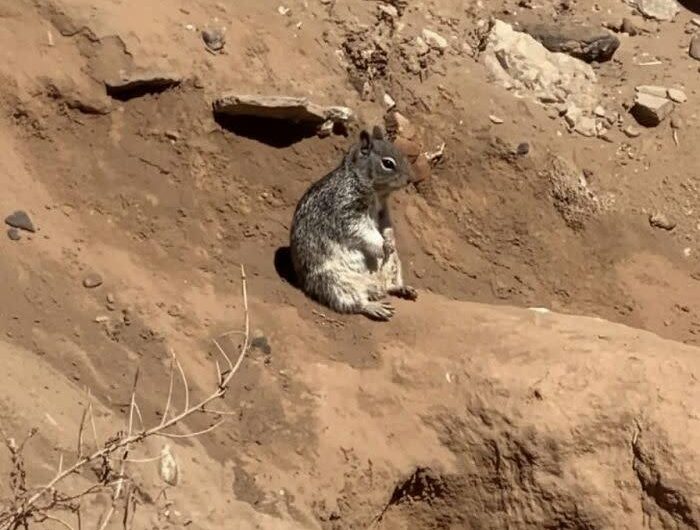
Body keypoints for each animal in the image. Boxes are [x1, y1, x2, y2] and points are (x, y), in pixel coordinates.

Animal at [290, 126, 418, 321]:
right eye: (388, 163)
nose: (410, 179)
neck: (377, 193)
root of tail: (375, 287)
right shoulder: (347, 211)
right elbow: (361, 230)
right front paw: (381, 245)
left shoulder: (383, 211)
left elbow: (387, 226)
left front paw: (390, 240)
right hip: (335, 282)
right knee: (355, 303)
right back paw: (375, 307)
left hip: (393, 264)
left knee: (390, 286)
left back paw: (402, 288)